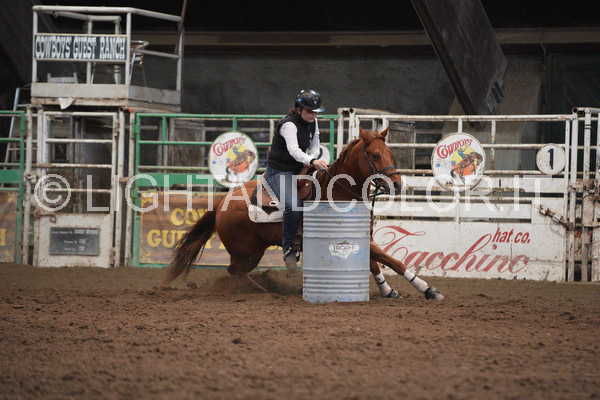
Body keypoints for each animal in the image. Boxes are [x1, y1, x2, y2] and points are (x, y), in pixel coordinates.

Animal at [162, 126, 444, 301]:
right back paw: (265, 291)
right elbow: (393, 261)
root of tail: (222, 201)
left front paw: (387, 291)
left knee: (235, 271)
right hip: (248, 252)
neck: (338, 190)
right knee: (235, 271)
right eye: (374, 155)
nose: (396, 184)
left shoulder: (364, 236)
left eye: (390, 153)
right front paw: (427, 288)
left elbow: (376, 262)